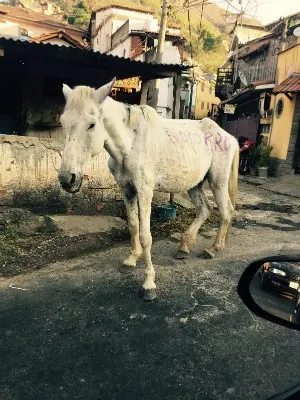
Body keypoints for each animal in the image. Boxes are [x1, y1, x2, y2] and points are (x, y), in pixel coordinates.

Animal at [57, 78, 238, 300]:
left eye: (91, 124)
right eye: (63, 122)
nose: (67, 179)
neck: (131, 144)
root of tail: (227, 136)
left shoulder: (145, 192)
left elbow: (145, 236)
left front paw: (149, 283)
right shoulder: (127, 190)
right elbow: (133, 226)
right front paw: (131, 259)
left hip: (217, 182)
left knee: (226, 212)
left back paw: (213, 248)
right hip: (194, 185)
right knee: (205, 210)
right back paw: (184, 247)